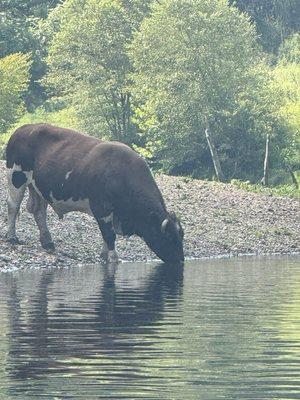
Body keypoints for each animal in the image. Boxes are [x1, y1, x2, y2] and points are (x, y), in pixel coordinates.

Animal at [5, 123, 184, 264]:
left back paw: (47, 242)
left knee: (39, 211)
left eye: (181, 236)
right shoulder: (102, 208)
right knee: (13, 206)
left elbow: (107, 234)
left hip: (38, 187)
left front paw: (104, 254)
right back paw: (12, 237)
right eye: (169, 237)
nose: (180, 260)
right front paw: (113, 257)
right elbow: (109, 234)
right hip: (16, 176)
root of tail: (23, 128)